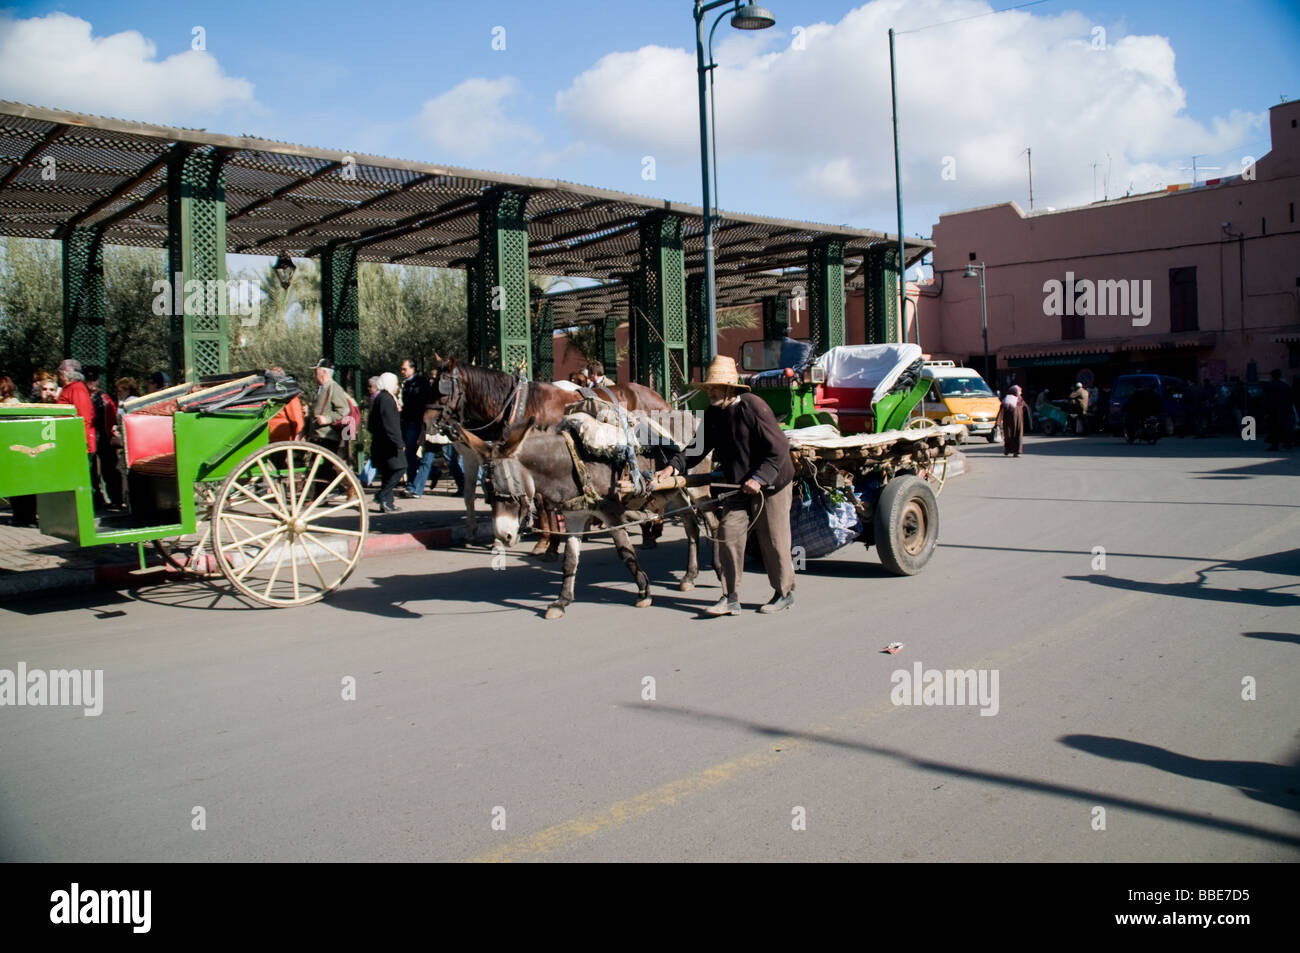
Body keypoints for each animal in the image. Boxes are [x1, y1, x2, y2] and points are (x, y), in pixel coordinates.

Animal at [426, 356, 670, 546]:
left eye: (443, 389)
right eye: (429, 384)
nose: (426, 421)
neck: (520, 404)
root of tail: (660, 398)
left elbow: (544, 502)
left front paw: (546, 541)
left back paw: (652, 527)